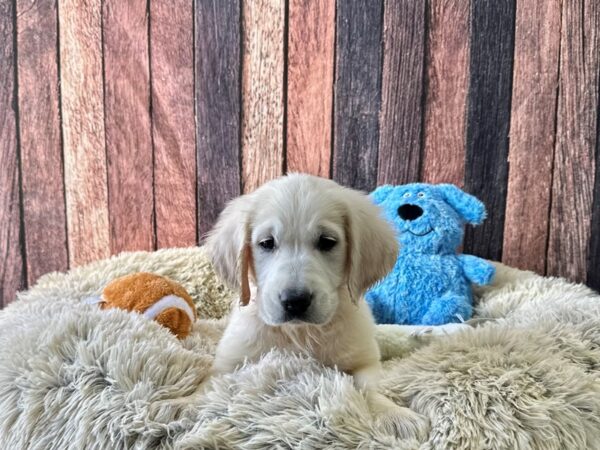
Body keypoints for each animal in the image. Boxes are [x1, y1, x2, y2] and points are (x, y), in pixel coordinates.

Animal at [207, 173, 432, 440]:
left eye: (327, 242)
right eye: (267, 243)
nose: (295, 301)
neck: (301, 333)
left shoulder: (364, 361)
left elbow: (368, 385)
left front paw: (394, 414)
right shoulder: (227, 367)